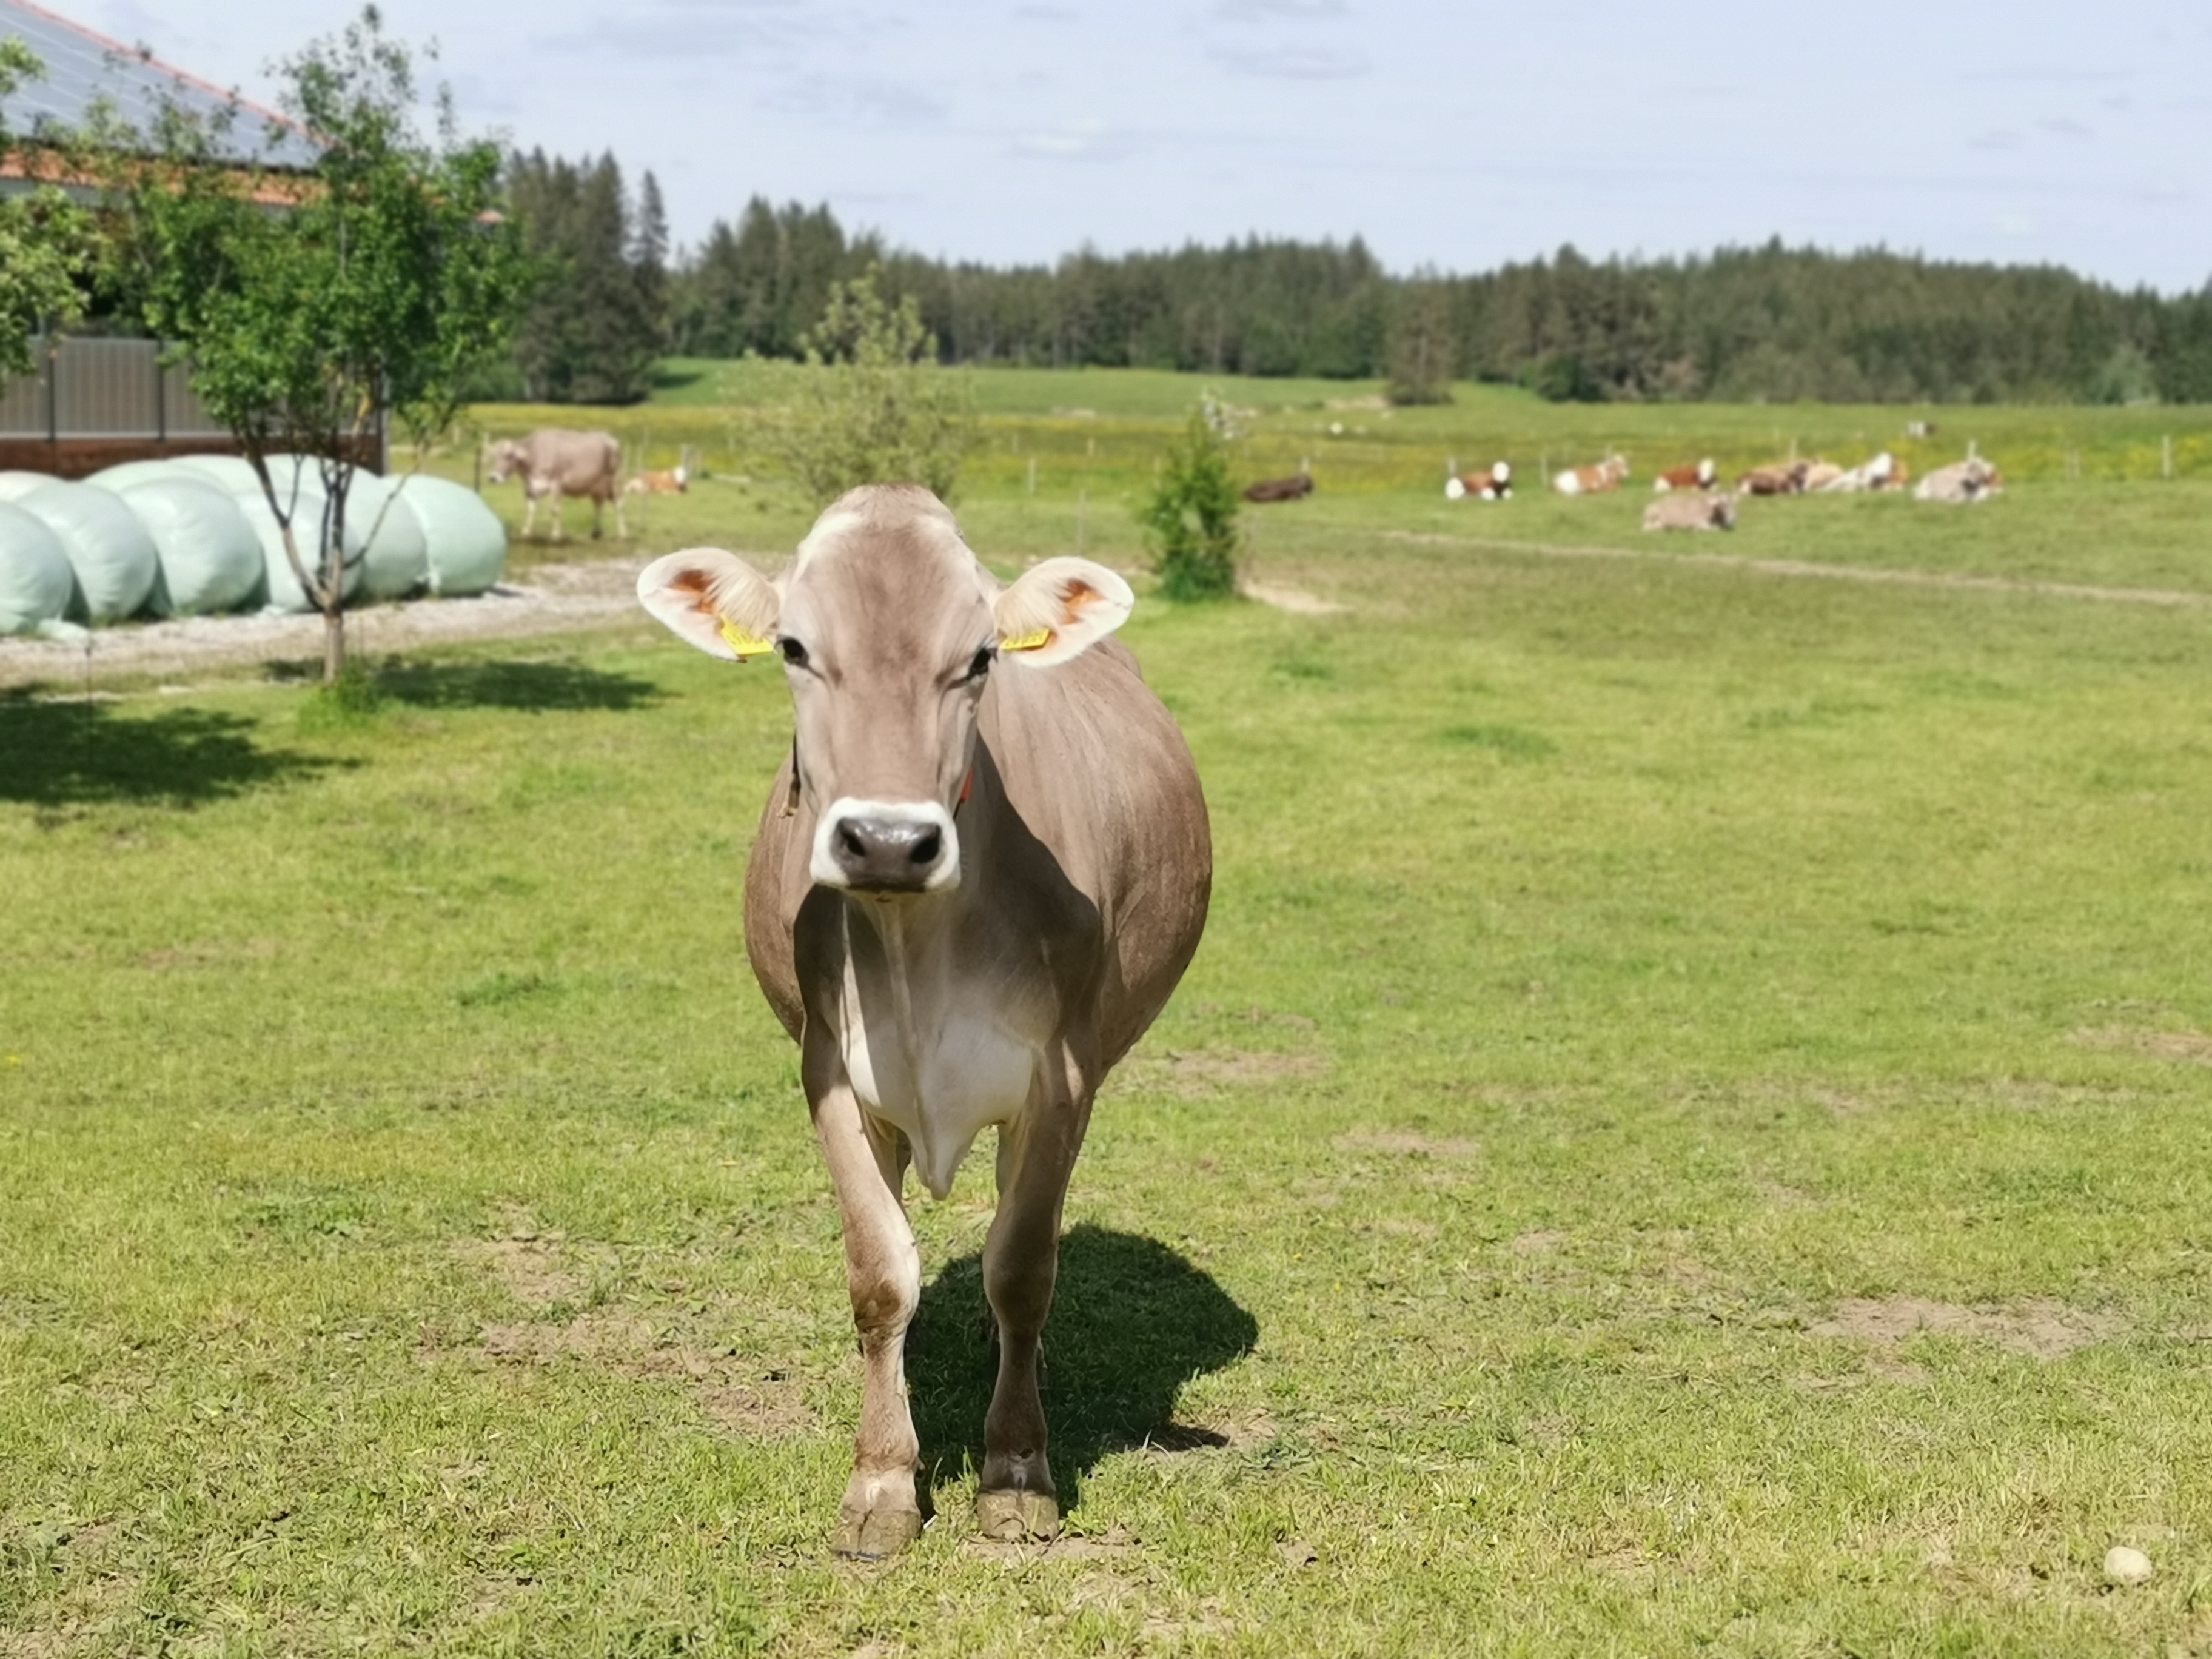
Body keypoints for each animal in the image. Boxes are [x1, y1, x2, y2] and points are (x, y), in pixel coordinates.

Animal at [485, 429, 626, 542]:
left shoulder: (556, 484)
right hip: (597, 487)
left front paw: (556, 534)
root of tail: (609, 438)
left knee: (619, 504)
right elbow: (531, 510)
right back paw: (596, 533)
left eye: (509, 456)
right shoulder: (530, 487)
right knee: (598, 505)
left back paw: (623, 533)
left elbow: (555, 510)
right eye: (494, 456)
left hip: (614, 480)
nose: (493, 478)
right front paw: (526, 531)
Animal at [635, 486, 1212, 1559]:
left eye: (981, 656)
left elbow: (1022, 1266)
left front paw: (1017, 1473)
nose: (889, 841)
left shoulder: (1063, 1076)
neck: (916, 944)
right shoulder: (829, 1071)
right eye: (793, 646)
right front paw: (882, 1482)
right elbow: (879, 1274)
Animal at [1643, 491, 1737, 532]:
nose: (1733, 518)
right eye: (1723, 505)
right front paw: (1695, 529)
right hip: (1652, 515)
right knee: (1646, 528)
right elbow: (1714, 528)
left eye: (1734, 504)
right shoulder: (1699, 521)